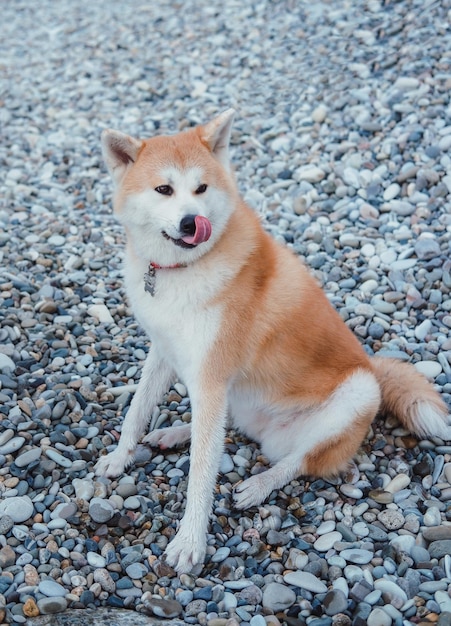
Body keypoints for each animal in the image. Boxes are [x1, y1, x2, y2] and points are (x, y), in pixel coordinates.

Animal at [97, 108, 450, 572]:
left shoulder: (211, 380)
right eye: (164, 189)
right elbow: (136, 413)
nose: (192, 222)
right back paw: (176, 432)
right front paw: (121, 457)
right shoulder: (165, 353)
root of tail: (372, 366)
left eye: (201, 188)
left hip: (356, 394)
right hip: (240, 399)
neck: (183, 270)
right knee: (226, 429)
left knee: (296, 461)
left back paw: (258, 484)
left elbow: (201, 474)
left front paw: (190, 541)